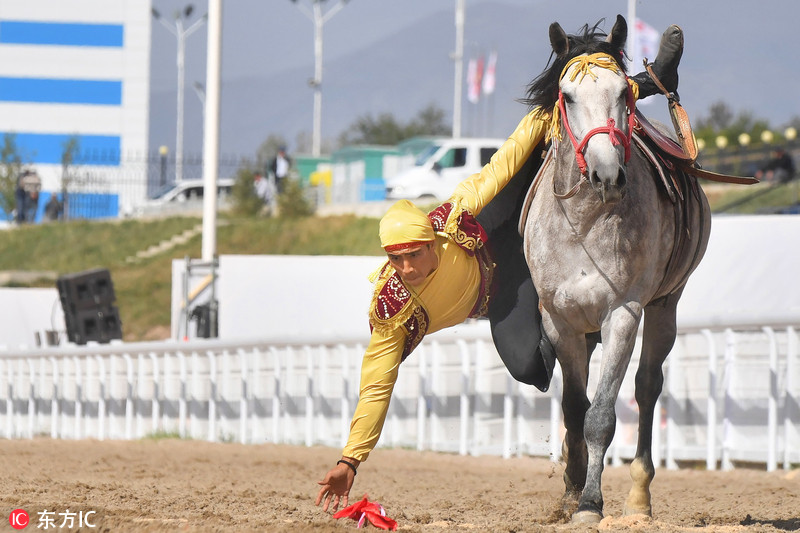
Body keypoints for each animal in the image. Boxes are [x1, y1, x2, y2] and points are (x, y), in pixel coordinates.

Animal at [520, 15, 708, 520]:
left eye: (624, 92)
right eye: (567, 96)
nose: (607, 175)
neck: (584, 224)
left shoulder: (622, 313)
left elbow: (601, 414)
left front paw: (591, 502)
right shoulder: (559, 319)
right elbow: (573, 406)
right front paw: (572, 489)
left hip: (666, 304)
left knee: (647, 387)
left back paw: (639, 497)